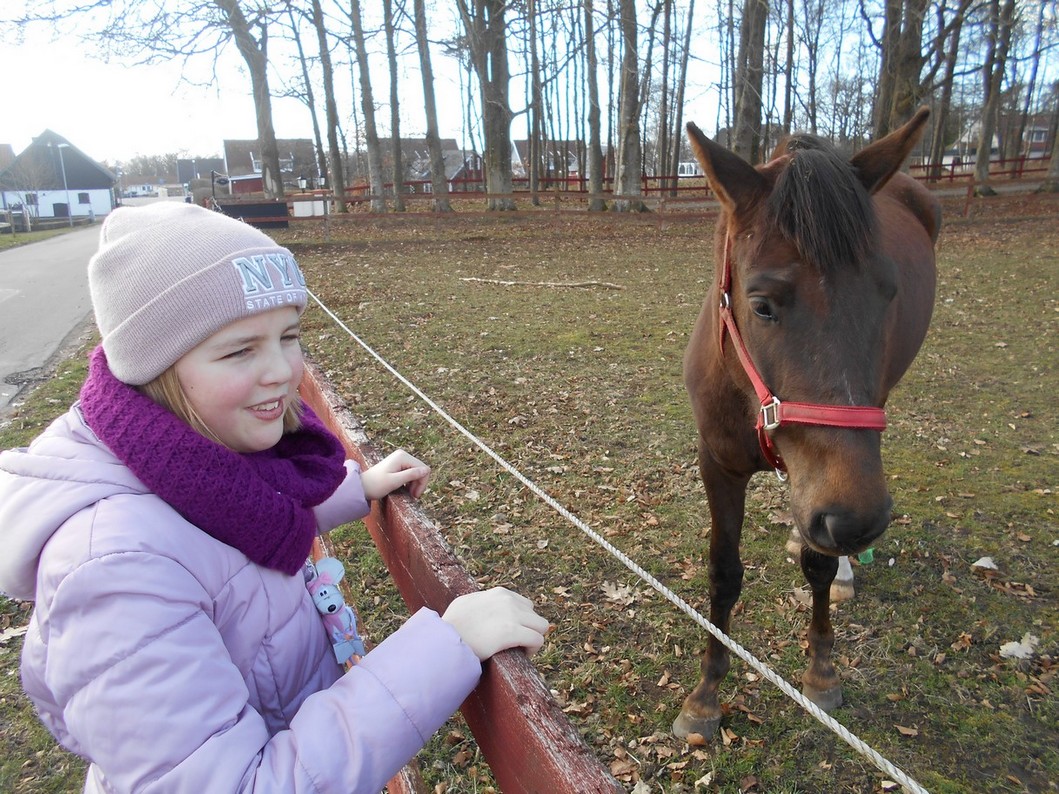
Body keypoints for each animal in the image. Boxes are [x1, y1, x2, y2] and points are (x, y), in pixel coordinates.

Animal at [673, 108, 940, 740]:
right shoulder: (716, 462)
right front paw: (705, 696)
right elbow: (723, 572)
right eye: (762, 304)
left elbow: (817, 566)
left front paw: (821, 671)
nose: (858, 522)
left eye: (887, 294)